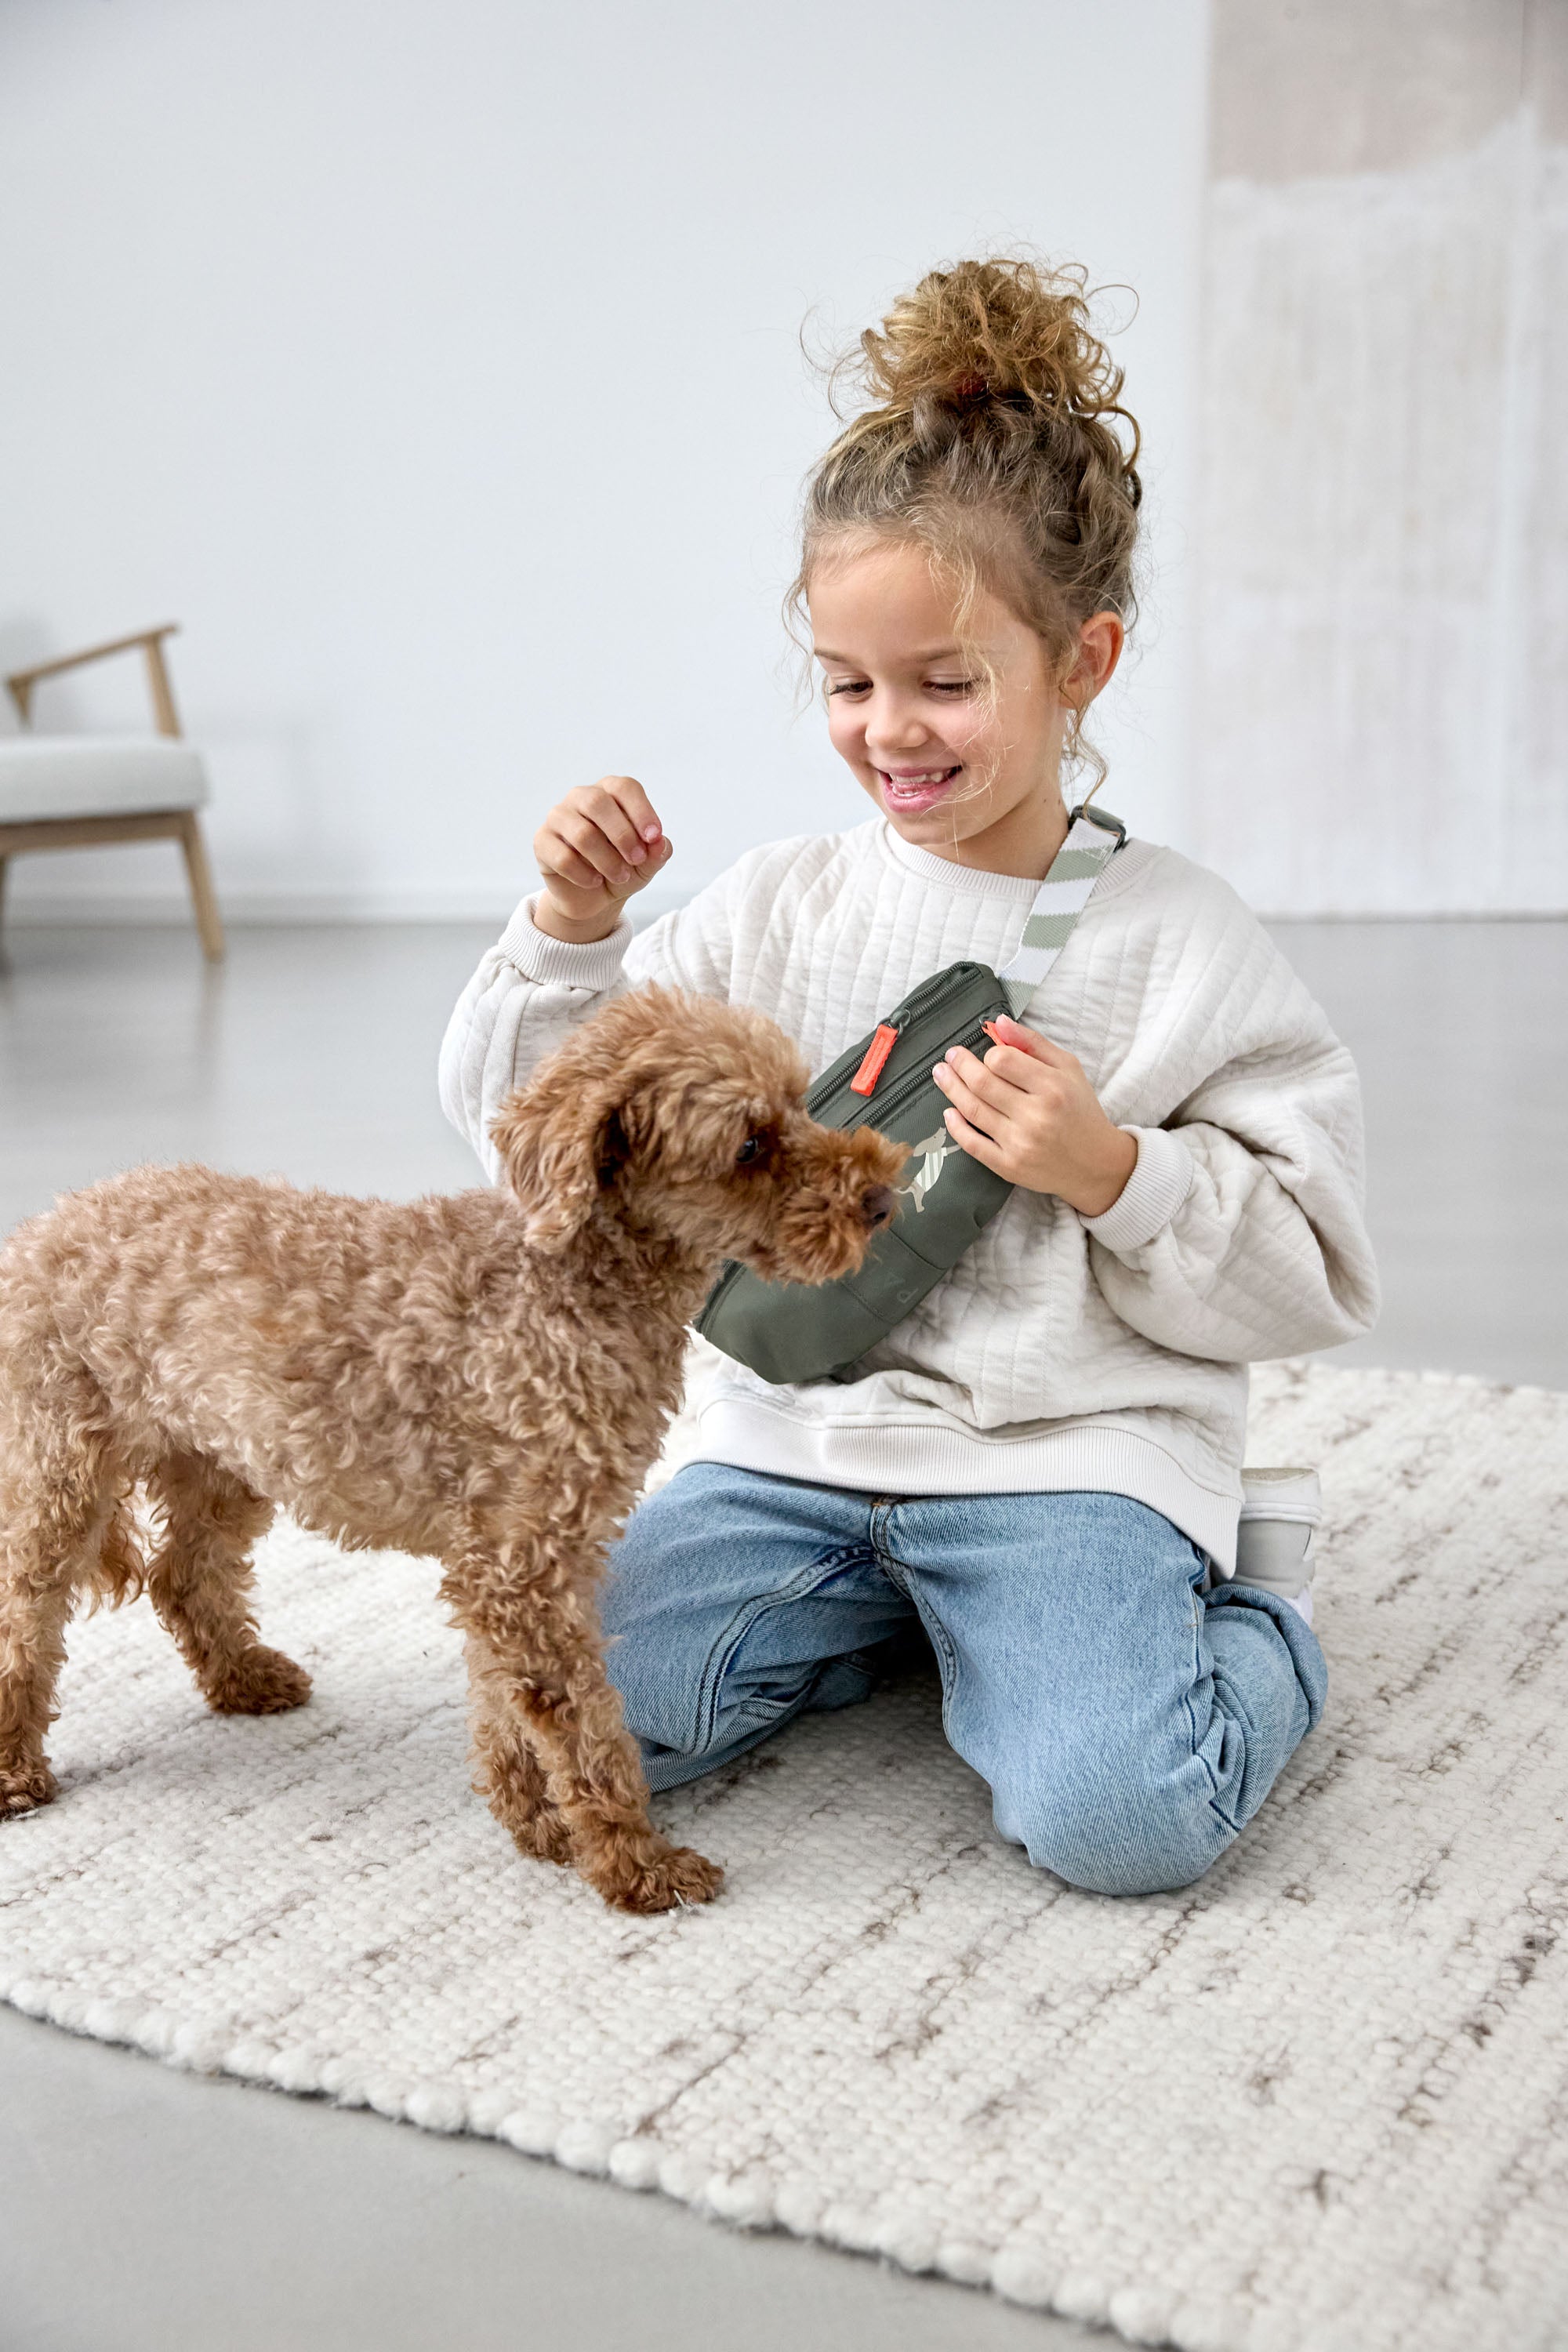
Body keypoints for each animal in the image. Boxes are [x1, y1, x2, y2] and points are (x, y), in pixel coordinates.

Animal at [0, 983, 907, 1919]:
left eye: (800, 1101)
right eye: (749, 1145)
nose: (882, 1198)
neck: (568, 1288)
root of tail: (48, 1222)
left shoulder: (517, 1559)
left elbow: (504, 1700)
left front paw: (534, 1822)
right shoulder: (520, 1564)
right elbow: (584, 1725)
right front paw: (634, 1864)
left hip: (221, 1454)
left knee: (183, 1576)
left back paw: (245, 1678)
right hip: (65, 1460)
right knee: (27, 1613)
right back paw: (16, 1769)